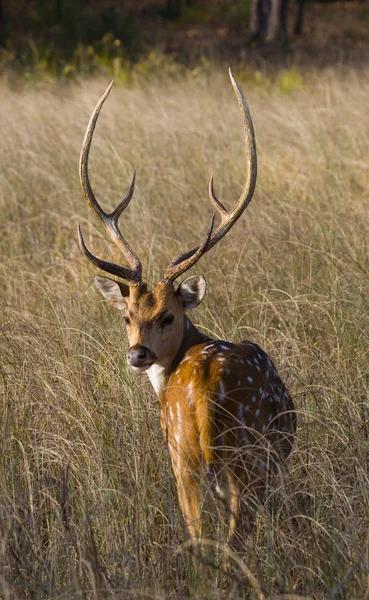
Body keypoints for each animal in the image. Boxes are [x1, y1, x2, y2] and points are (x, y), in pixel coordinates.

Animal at [77, 72, 296, 556]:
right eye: (126, 316)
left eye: (168, 316)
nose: (137, 354)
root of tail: (205, 391)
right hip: (228, 461)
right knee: (225, 539)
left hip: (195, 460)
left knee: (210, 539)